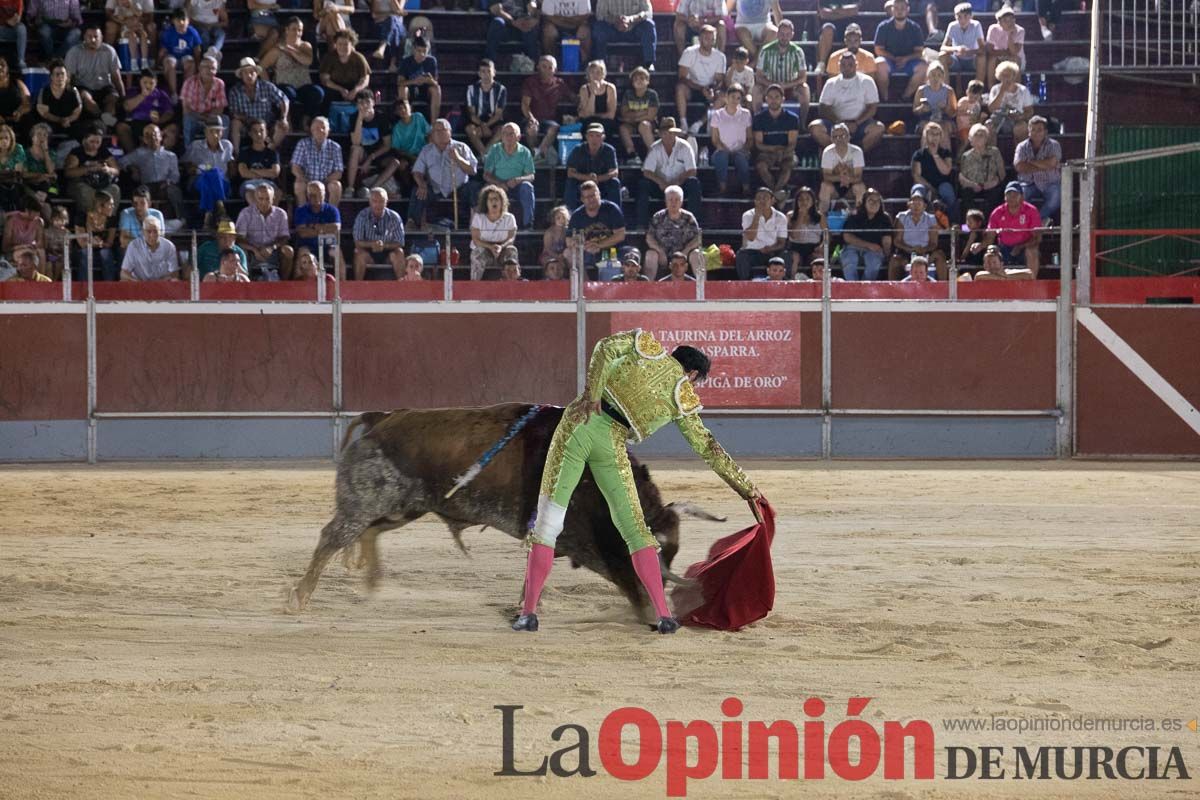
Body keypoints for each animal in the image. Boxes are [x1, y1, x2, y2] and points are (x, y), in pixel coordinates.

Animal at [283, 407, 710, 618]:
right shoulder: (583, 539)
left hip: (405, 508)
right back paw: (298, 599)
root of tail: (381, 419)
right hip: (366, 501)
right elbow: (618, 572)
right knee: (332, 537)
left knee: (368, 532)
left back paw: (371, 583)